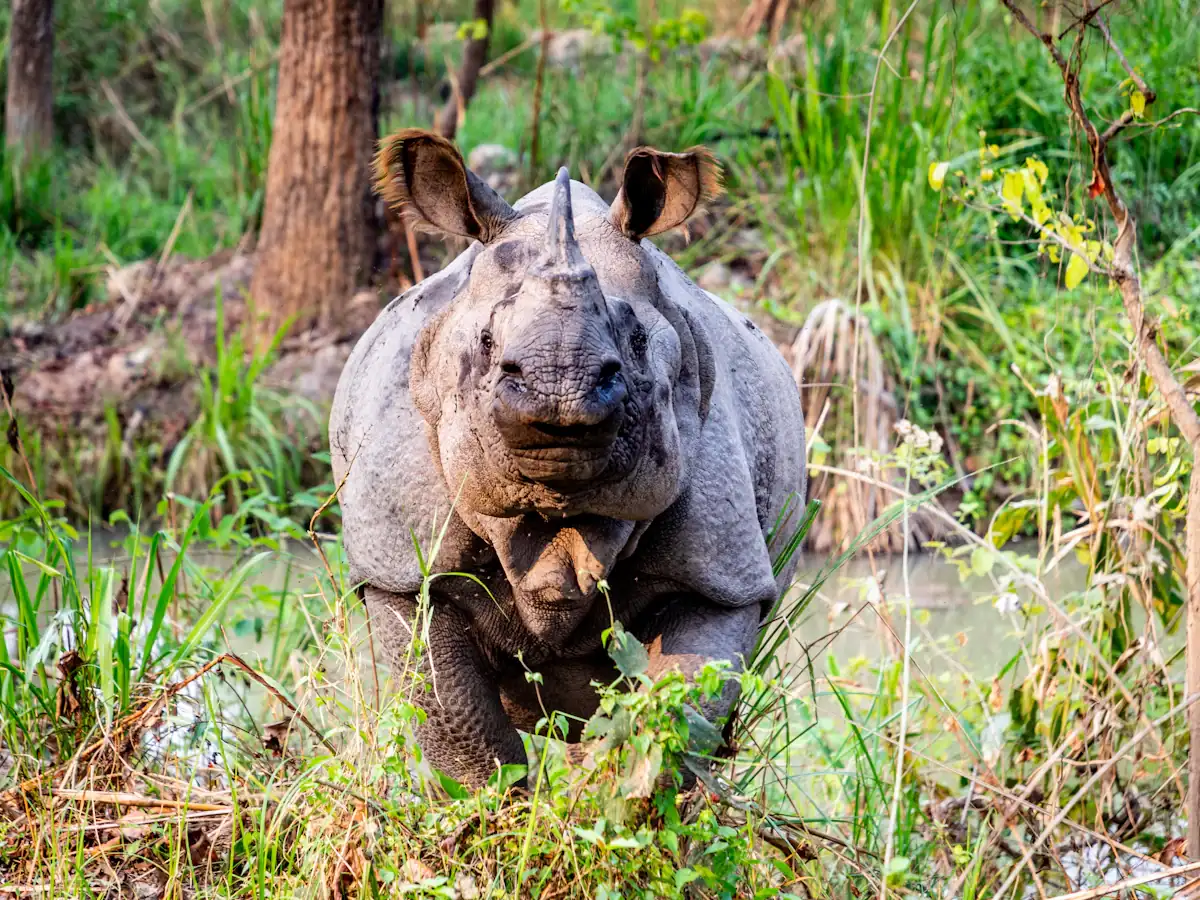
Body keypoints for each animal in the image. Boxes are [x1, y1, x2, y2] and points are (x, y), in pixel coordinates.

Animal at [330, 129, 806, 787]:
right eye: (486, 343)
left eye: (636, 341)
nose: (561, 388)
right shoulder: (403, 565)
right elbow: (458, 725)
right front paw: (501, 807)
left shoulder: (721, 574)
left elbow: (675, 713)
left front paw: (610, 797)